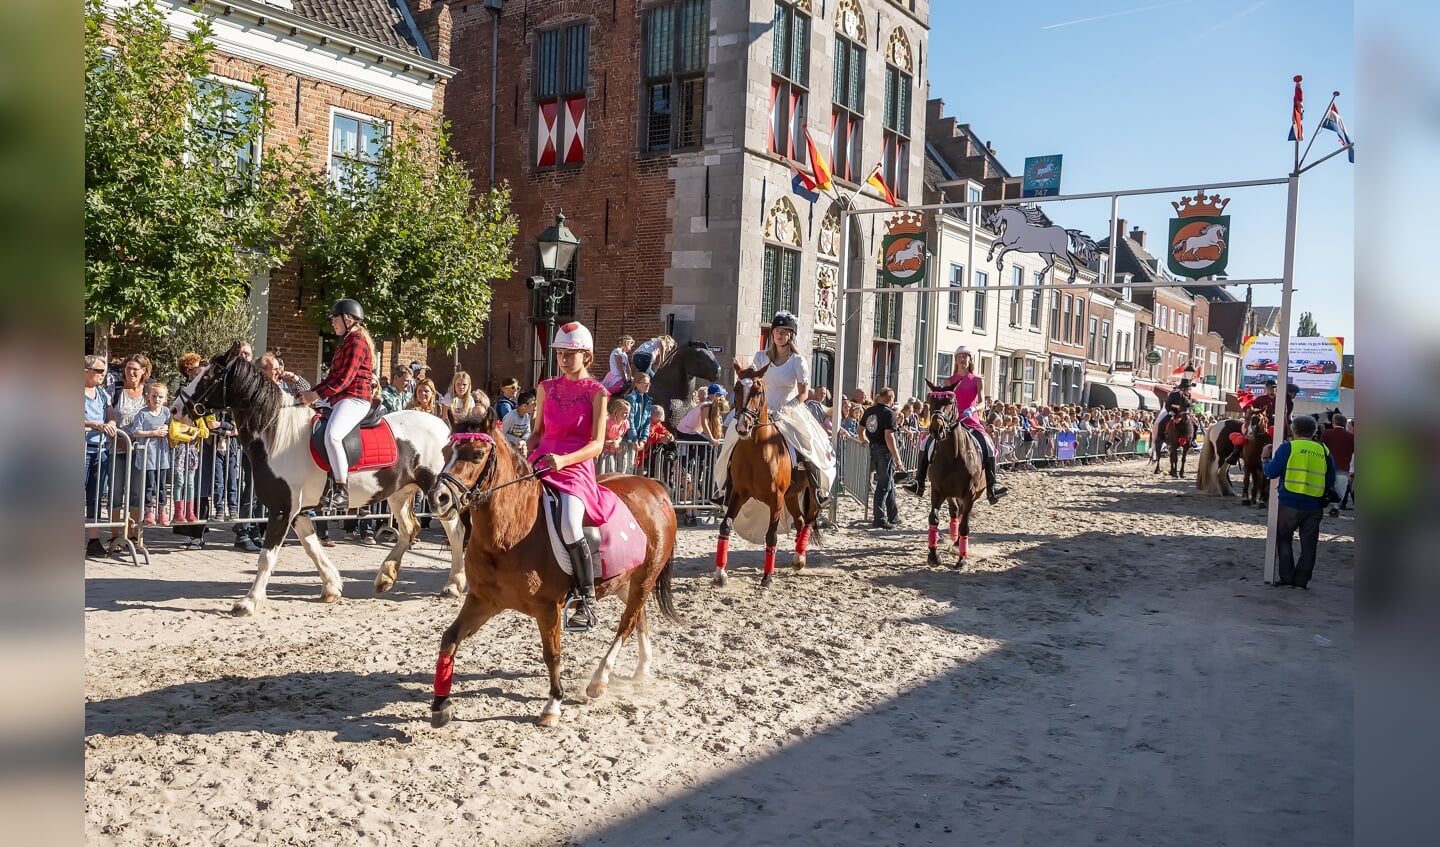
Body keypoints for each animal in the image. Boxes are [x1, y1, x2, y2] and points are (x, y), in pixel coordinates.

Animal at [177, 342, 463, 616]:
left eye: (209, 376)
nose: (177, 408)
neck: (277, 433)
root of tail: (445, 427)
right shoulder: (298, 511)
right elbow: (312, 547)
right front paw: (332, 587)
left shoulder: (282, 509)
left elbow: (267, 557)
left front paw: (249, 602)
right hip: (399, 493)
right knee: (408, 529)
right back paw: (386, 576)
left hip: (437, 495)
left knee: (455, 531)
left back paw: (453, 584)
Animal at [420, 417, 679, 728]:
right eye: (445, 452)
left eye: (477, 454)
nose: (438, 498)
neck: (510, 532)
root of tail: (654, 487)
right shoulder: (483, 601)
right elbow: (449, 639)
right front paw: (440, 704)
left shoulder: (548, 608)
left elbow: (552, 654)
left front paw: (553, 705)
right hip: (622, 581)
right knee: (640, 616)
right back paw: (642, 668)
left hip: (645, 578)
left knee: (626, 624)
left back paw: (599, 680)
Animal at [711, 363, 823, 587]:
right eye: (736, 389)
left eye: (758, 391)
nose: (742, 427)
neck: (757, 448)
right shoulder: (738, 493)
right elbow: (725, 526)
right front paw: (720, 574)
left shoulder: (776, 498)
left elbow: (771, 536)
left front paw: (767, 577)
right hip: (791, 496)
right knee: (799, 521)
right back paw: (797, 559)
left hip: (808, 495)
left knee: (808, 520)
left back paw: (800, 558)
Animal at [921, 383, 990, 570]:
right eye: (930, 400)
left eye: (950, 401)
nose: (936, 429)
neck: (953, 454)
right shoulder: (937, 491)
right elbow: (934, 518)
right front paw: (933, 556)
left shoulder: (969, 494)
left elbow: (965, 526)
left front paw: (962, 560)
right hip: (950, 493)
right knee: (955, 511)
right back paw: (953, 534)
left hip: (974, 494)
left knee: (962, 514)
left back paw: (958, 542)